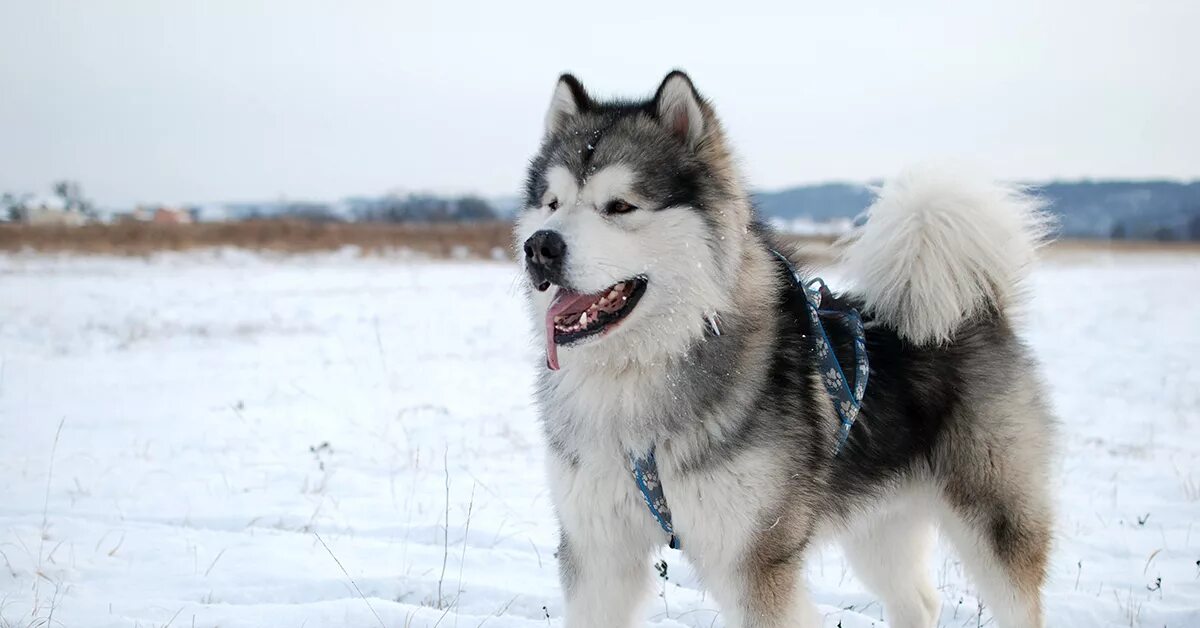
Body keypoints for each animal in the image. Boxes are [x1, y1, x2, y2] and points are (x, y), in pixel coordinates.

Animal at [511, 71, 1056, 624]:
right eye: (552, 203)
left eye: (620, 206)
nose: (540, 246)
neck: (642, 369)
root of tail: (979, 306)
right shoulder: (598, 553)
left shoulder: (754, 560)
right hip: (879, 525)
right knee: (920, 603)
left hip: (994, 517)